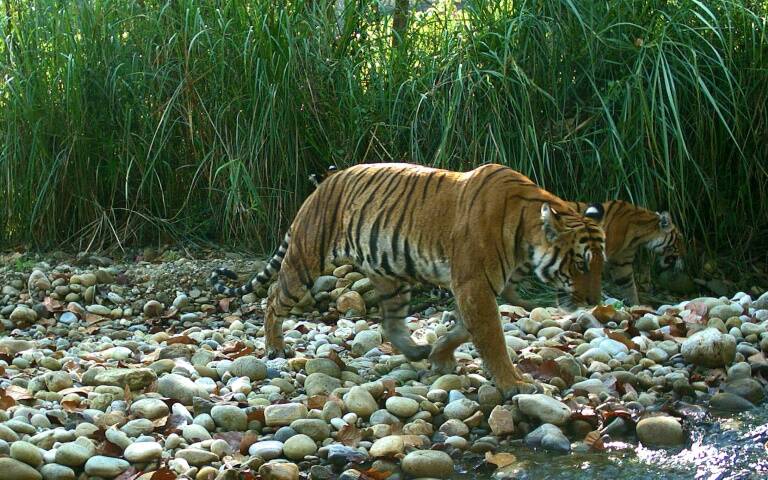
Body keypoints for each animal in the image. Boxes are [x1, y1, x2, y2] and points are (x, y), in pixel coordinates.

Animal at [212, 163, 608, 396]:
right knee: (273, 298)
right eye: (581, 264)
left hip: (392, 276)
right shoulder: (474, 285)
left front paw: (438, 355)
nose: (594, 301)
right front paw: (515, 383)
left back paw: (415, 350)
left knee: (390, 322)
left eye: (600, 264)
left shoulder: (474, 288)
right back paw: (274, 347)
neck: (526, 234)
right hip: (305, 263)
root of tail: (322, 185)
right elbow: (491, 337)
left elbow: (465, 328)